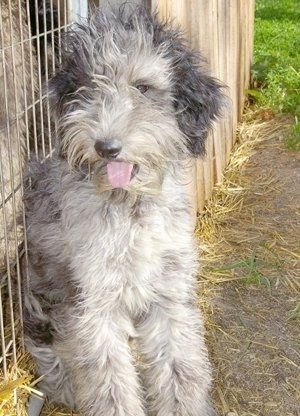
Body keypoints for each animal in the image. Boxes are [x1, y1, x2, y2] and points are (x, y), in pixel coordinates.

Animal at [22, 4, 225, 416]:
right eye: (86, 89)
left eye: (143, 87)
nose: (106, 147)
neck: (129, 209)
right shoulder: (93, 309)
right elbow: (111, 387)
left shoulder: (169, 294)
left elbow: (182, 370)